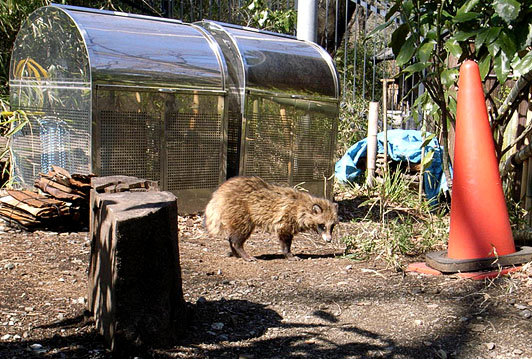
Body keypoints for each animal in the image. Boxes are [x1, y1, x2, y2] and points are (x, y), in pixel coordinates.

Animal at [204, 176, 336, 262]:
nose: (329, 240)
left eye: (332, 226)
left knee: (232, 236)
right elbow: (285, 239)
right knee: (240, 233)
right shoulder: (286, 219)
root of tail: (222, 191)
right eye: (323, 225)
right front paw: (288, 254)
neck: (304, 206)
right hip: (241, 212)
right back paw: (240, 250)